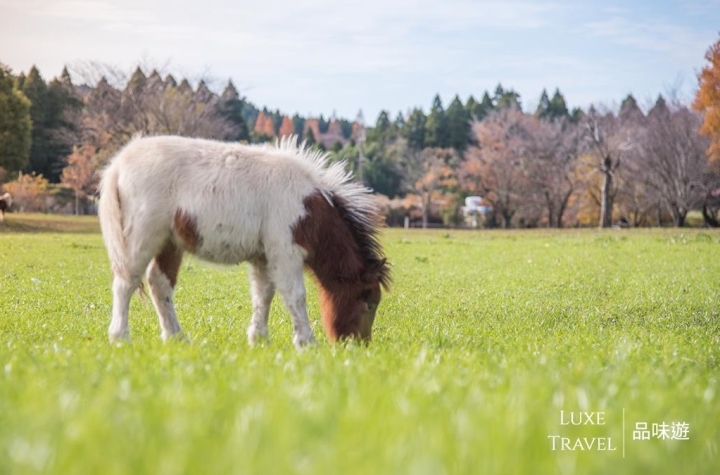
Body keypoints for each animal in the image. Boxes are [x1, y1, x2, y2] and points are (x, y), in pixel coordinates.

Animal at [98, 136, 390, 348]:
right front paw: (307, 342)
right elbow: (295, 295)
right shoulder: (285, 253)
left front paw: (259, 340)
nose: (359, 346)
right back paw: (120, 337)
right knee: (126, 283)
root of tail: (119, 164)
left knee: (159, 284)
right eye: (370, 302)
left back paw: (177, 338)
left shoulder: (264, 257)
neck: (308, 208)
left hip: (169, 243)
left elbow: (264, 295)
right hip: (142, 239)